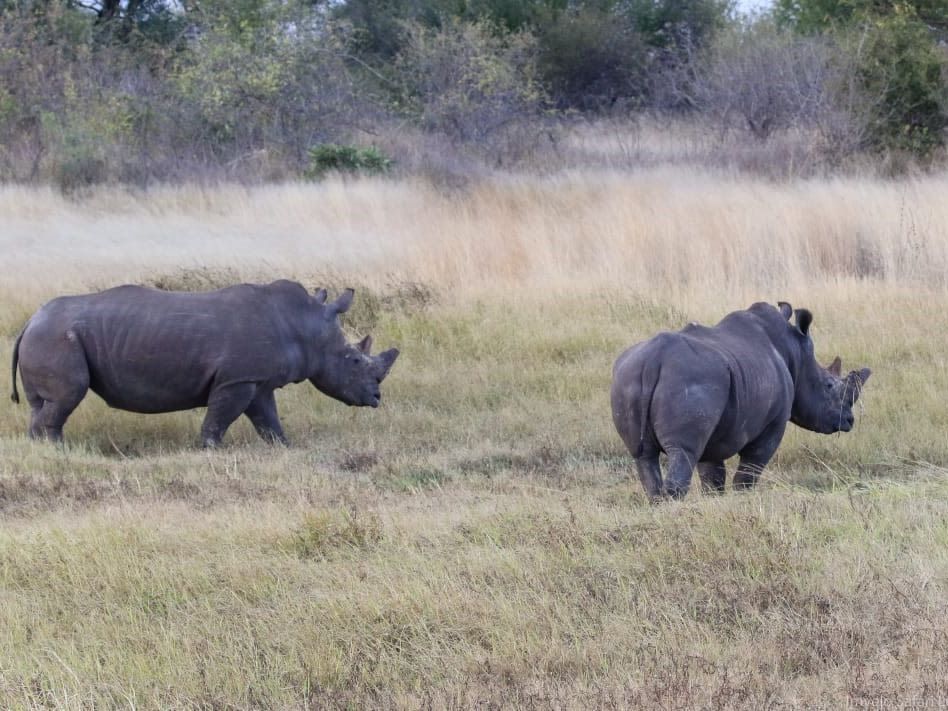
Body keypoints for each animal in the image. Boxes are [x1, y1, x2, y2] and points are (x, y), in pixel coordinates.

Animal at [10, 280, 399, 446]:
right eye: (353, 360)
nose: (377, 398)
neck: (305, 326)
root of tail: (29, 322)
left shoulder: (255, 380)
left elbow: (268, 418)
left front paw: (284, 447)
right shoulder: (237, 379)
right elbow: (221, 416)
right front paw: (210, 449)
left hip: (48, 335)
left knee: (44, 403)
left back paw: (41, 450)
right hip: (56, 337)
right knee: (68, 395)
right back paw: (59, 450)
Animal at [610, 302, 870, 500]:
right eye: (829, 385)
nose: (849, 421)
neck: (795, 354)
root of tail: (654, 360)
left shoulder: (716, 425)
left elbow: (712, 473)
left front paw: (714, 499)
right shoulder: (774, 422)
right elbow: (751, 467)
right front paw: (743, 497)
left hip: (629, 376)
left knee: (643, 456)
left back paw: (657, 501)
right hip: (689, 377)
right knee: (683, 451)